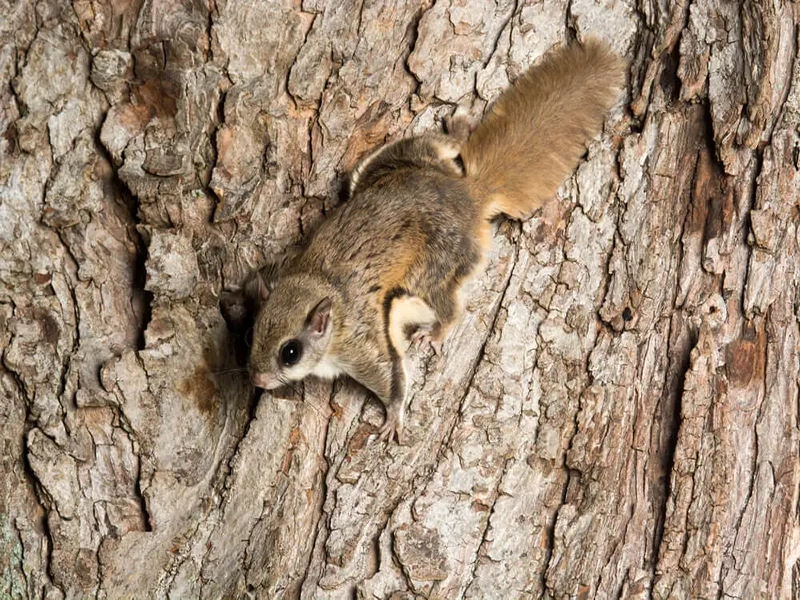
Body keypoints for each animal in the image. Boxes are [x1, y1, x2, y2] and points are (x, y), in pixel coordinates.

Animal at [243, 39, 625, 443]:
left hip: (434, 267)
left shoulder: (362, 341)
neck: (318, 285)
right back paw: (458, 127)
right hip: (392, 161)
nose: (257, 379)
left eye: (290, 352)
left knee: (450, 307)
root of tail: (468, 196)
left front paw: (393, 419)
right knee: (440, 145)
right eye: (252, 333)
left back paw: (437, 332)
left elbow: (390, 376)